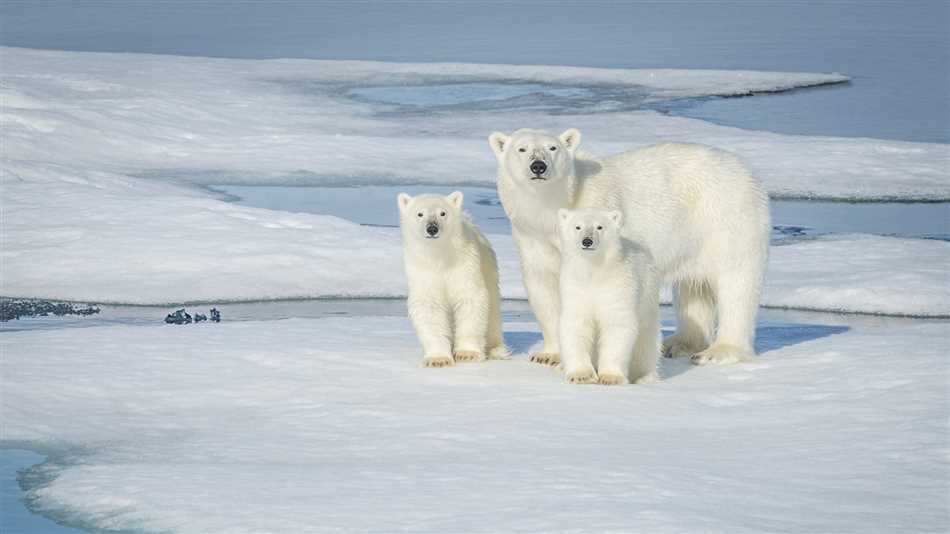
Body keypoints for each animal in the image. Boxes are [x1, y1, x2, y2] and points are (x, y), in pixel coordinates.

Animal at [396, 193, 510, 368]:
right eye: (420, 213)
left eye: (443, 213)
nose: (432, 228)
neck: (440, 257)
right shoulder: (422, 272)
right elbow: (429, 307)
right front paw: (438, 359)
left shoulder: (465, 266)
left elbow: (470, 299)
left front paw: (467, 354)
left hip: (488, 268)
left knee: (492, 312)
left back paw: (496, 350)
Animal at [490, 127, 772, 366]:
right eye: (522, 149)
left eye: (553, 148)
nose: (538, 166)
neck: (554, 209)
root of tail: (747, 173)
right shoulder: (533, 236)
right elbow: (544, 287)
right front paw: (548, 355)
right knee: (693, 288)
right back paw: (679, 344)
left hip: (725, 218)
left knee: (736, 282)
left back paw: (719, 351)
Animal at [556, 207, 660, 388]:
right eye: (578, 226)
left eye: (599, 227)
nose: (587, 241)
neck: (594, 271)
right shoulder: (575, 287)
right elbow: (576, 324)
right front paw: (581, 376)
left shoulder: (618, 286)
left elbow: (617, 324)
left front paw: (611, 377)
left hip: (649, 295)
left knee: (646, 342)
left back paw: (644, 377)